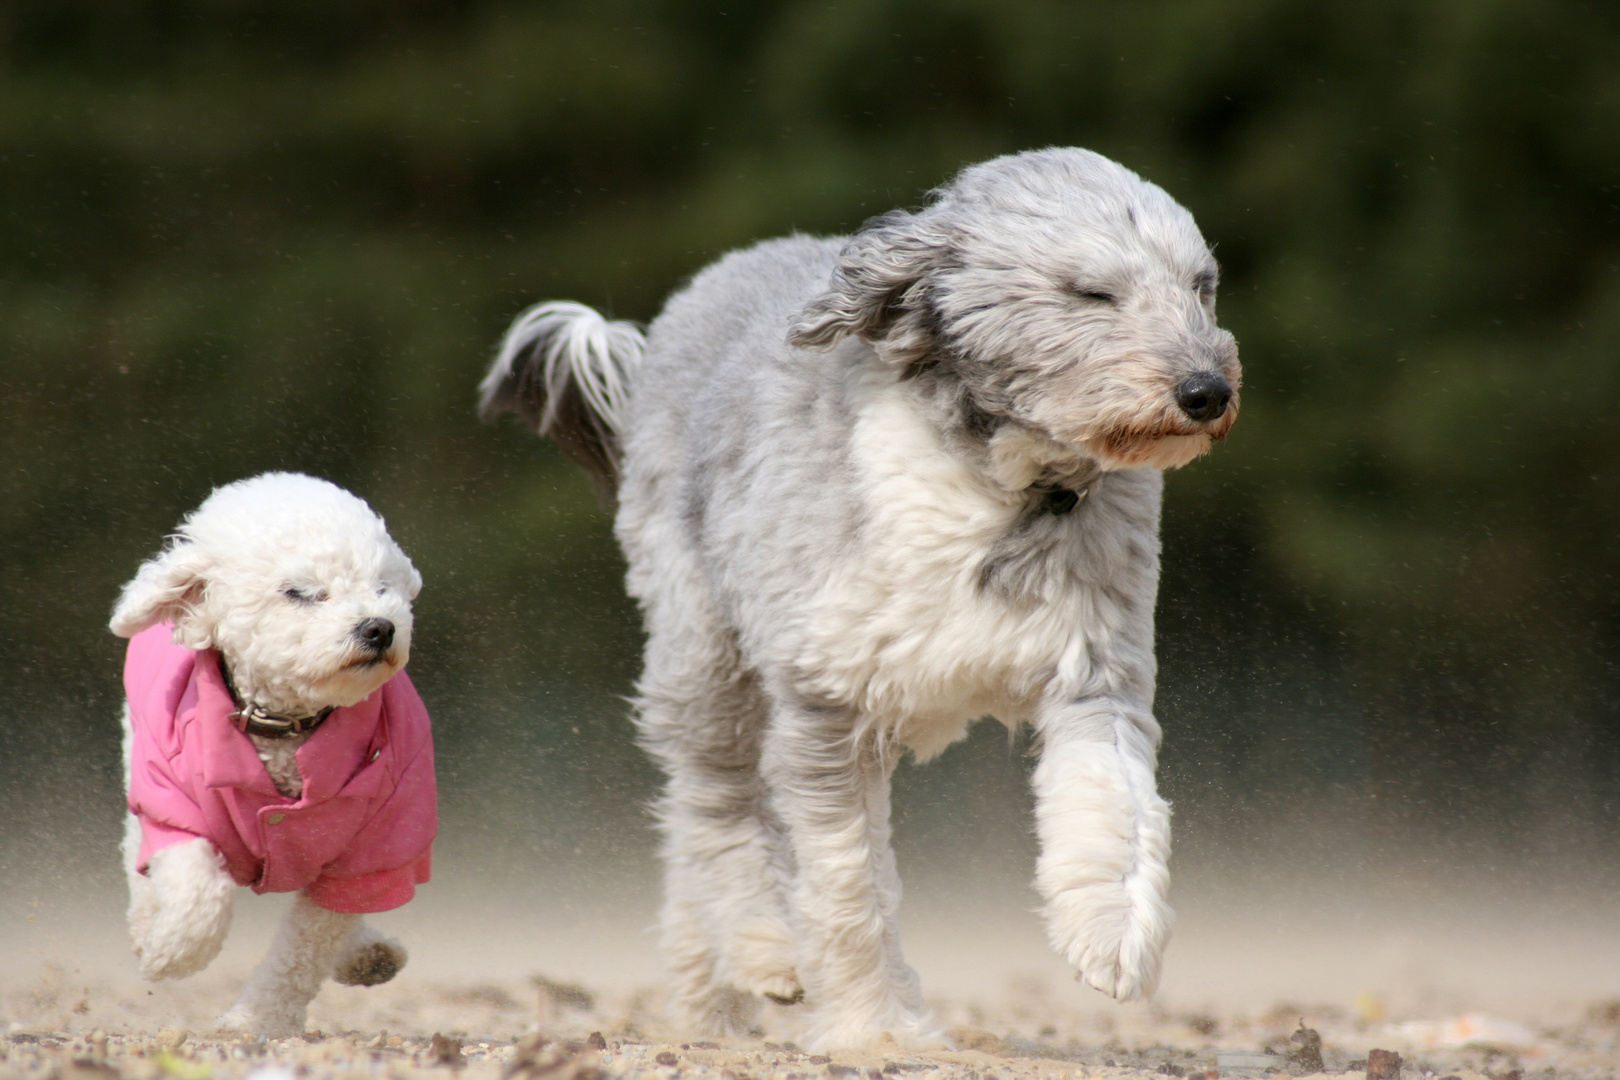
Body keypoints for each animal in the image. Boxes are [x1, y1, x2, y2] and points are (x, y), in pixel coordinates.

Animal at [110, 472, 434, 1036]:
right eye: (298, 593)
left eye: (382, 587)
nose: (379, 627)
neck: (284, 726)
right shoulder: (174, 802)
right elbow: (199, 890)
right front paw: (172, 951)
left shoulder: (375, 845)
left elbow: (306, 946)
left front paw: (254, 1023)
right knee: (139, 854)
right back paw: (149, 923)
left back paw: (367, 955)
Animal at [479, 148, 1237, 1049]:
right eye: (1091, 292)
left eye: (1202, 286)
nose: (1206, 391)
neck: (992, 485)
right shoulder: (825, 698)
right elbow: (845, 890)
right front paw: (876, 1028)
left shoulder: (1094, 670)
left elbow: (1110, 801)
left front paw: (1114, 936)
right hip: (705, 647)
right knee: (715, 806)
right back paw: (762, 948)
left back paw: (708, 1010)